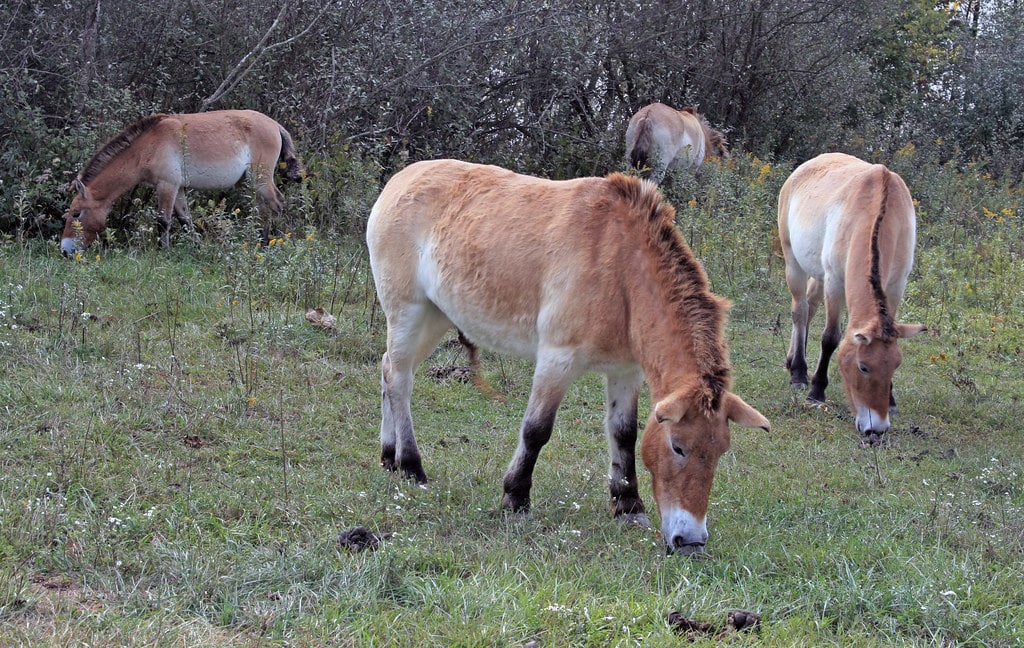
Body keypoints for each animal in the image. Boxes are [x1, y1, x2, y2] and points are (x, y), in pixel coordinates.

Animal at [60, 110, 303, 256]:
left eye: (76, 214)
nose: (64, 250)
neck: (148, 146)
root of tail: (275, 125)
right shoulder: (180, 189)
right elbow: (185, 220)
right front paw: (198, 247)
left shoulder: (167, 185)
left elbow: (164, 221)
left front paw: (163, 251)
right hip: (255, 182)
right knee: (264, 209)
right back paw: (262, 241)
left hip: (261, 178)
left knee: (277, 204)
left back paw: (277, 241)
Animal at [367, 159, 769, 555]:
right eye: (678, 447)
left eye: (721, 450)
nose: (691, 542)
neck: (621, 266)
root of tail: (401, 179)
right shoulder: (556, 361)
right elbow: (536, 430)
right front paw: (515, 498)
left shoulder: (626, 371)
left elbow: (623, 433)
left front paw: (628, 506)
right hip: (408, 312)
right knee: (400, 381)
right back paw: (411, 466)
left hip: (435, 316)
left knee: (389, 370)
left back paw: (388, 456)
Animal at [778, 153, 927, 440]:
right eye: (863, 367)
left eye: (895, 366)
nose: (876, 428)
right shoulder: (835, 281)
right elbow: (830, 338)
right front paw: (816, 391)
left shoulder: (896, 286)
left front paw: (891, 401)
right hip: (793, 261)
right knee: (799, 310)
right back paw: (798, 372)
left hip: (817, 273)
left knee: (810, 307)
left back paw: (793, 361)